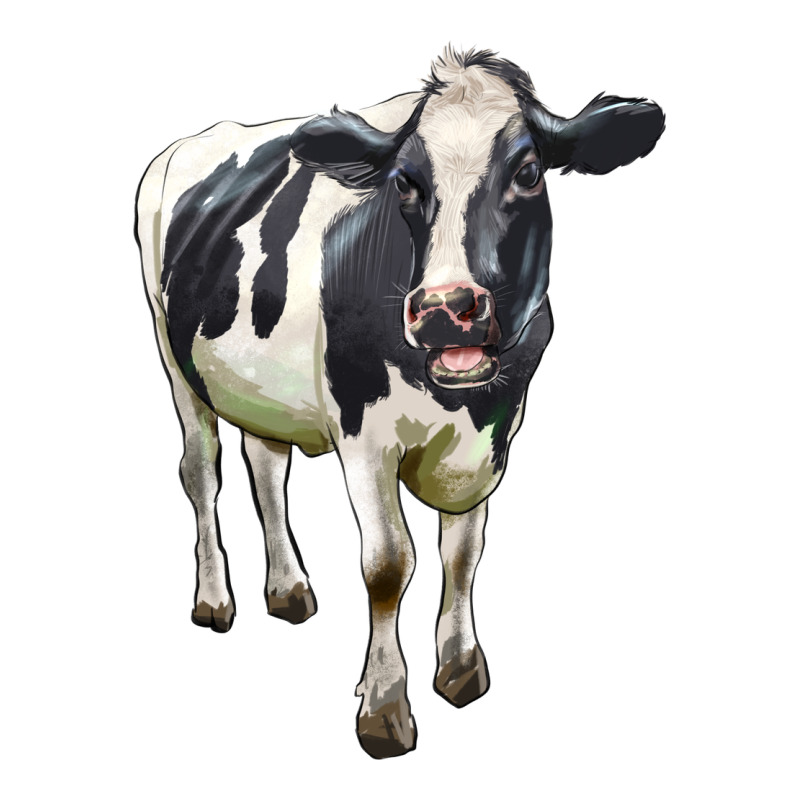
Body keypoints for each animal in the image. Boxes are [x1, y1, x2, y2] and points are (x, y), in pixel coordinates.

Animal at [135, 47, 664, 758]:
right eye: (406, 182)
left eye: (528, 172)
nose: (445, 308)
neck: (461, 403)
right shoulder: (363, 433)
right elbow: (389, 564)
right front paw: (384, 707)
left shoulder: (494, 437)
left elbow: (463, 551)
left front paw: (461, 667)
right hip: (174, 360)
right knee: (201, 474)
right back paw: (215, 598)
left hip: (260, 386)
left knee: (267, 467)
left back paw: (288, 588)